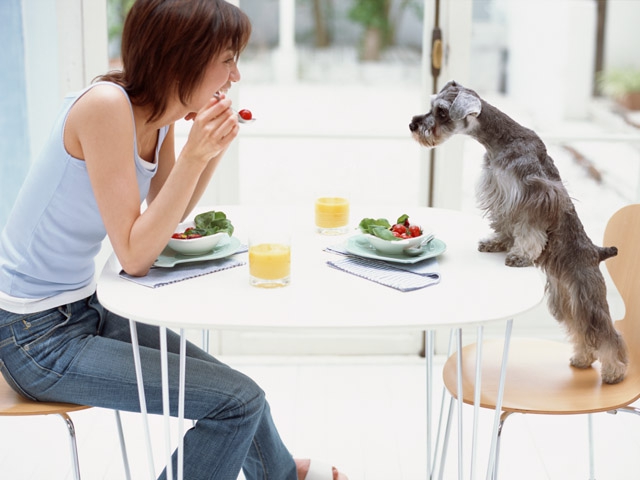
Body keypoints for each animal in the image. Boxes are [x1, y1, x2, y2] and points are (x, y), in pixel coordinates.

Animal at [408, 80, 628, 384]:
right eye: (432, 105)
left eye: (441, 112)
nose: (413, 125)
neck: (499, 140)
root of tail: (598, 252)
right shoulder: (499, 192)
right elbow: (503, 224)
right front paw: (495, 243)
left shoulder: (535, 196)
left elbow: (529, 230)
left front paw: (520, 255)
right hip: (564, 298)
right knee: (579, 328)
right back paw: (583, 358)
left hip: (587, 296)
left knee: (605, 331)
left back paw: (614, 371)